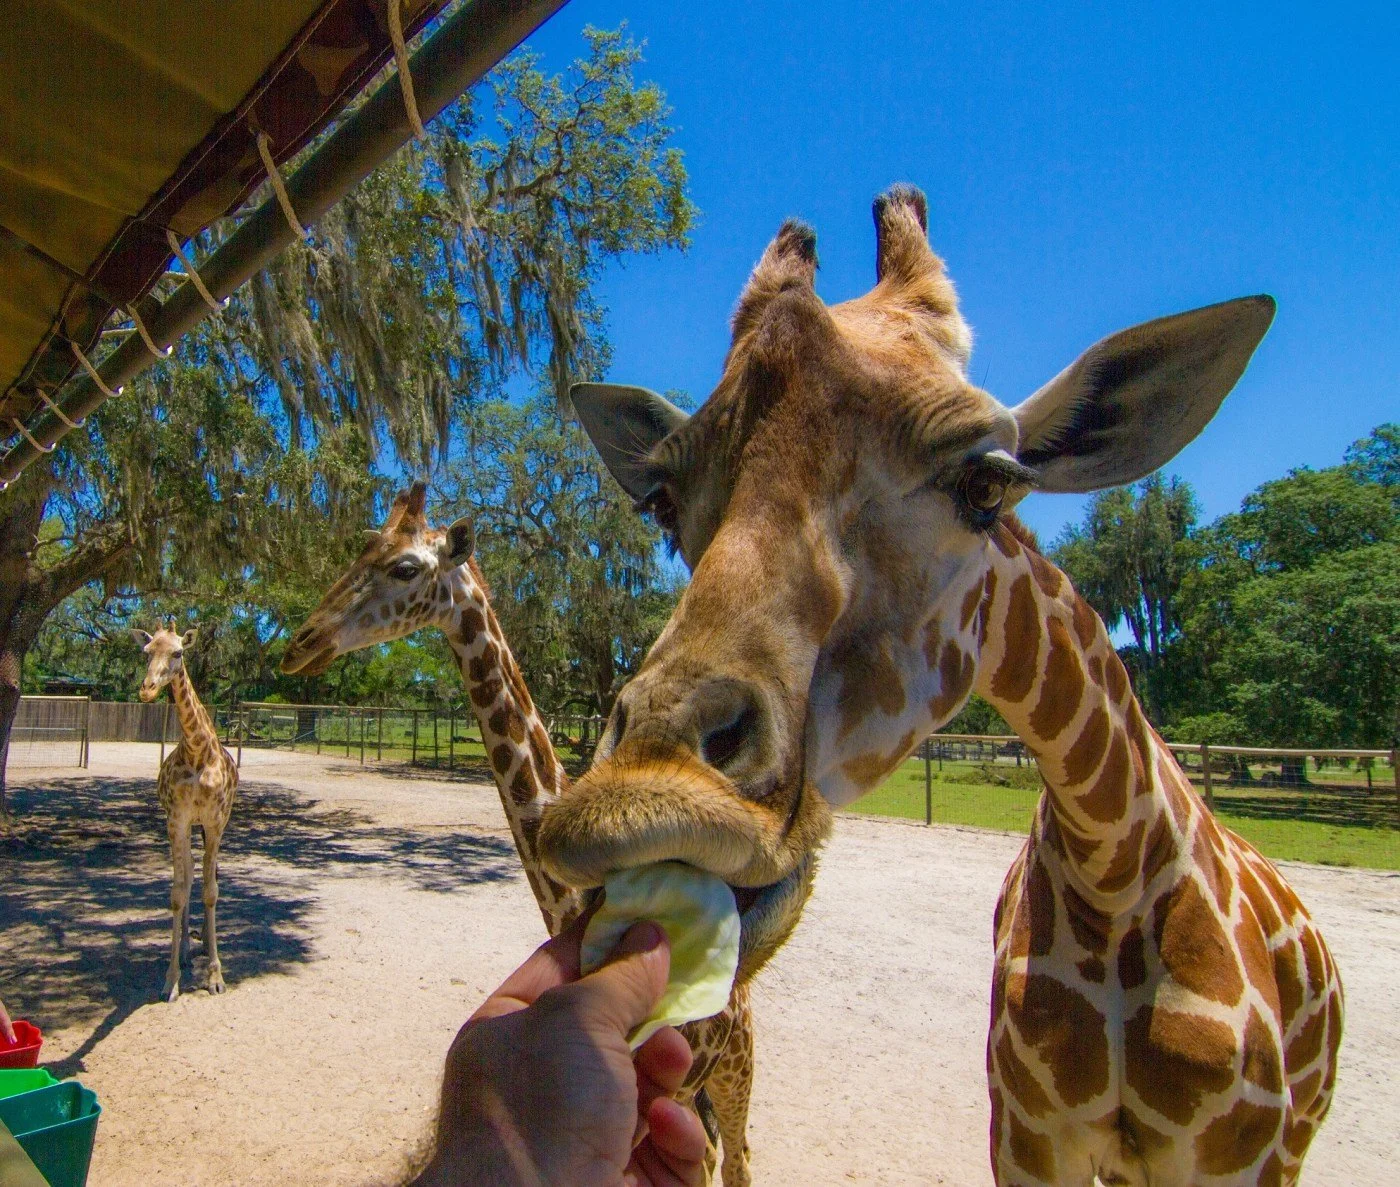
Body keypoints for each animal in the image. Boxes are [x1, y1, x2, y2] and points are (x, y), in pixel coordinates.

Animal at [131, 618, 239, 1002]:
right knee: (190, 874)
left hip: (206, 826)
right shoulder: (176, 820)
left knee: (207, 875)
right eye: (146, 652)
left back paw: (204, 944)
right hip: (188, 825)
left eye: (178, 652)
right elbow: (178, 892)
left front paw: (216, 977)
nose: (147, 689)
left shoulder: (215, 820)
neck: (196, 751)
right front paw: (171, 979)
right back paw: (187, 951)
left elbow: (211, 891)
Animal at [279, 481, 760, 1186]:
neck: (573, 907)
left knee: (740, 1157)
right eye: (362, 547)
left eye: (406, 567)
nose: (299, 644)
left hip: (733, 1071)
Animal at [553, 184, 1342, 1184]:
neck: (1114, 870)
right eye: (659, 503)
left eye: (988, 482)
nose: (644, 797)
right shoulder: (1028, 1134)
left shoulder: (1232, 1158)